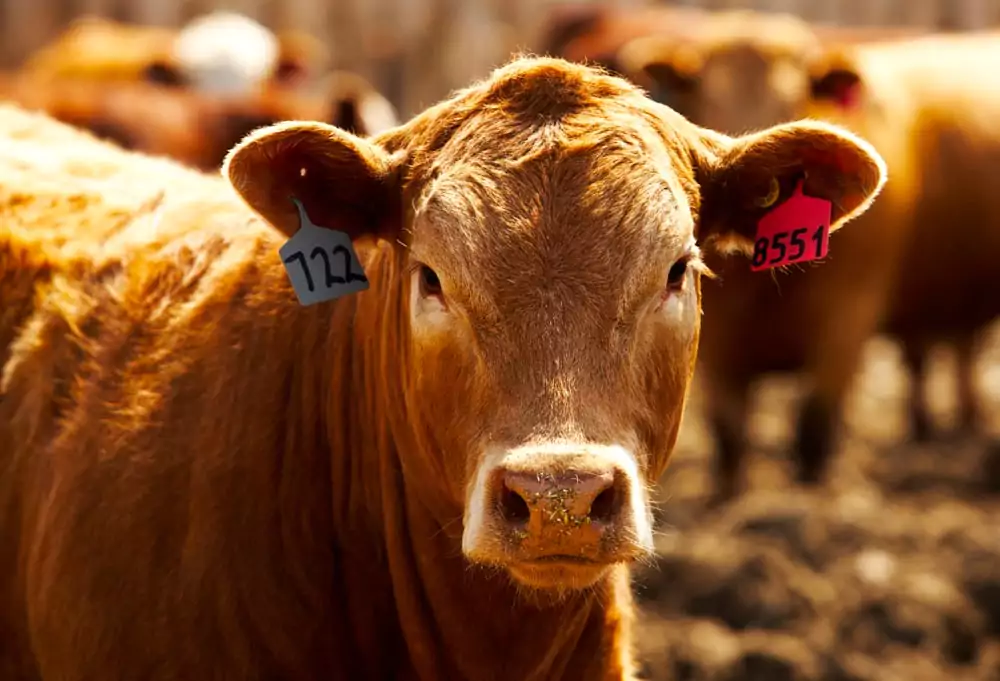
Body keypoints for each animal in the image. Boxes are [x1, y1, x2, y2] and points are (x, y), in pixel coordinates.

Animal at [611, 13, 1000, 500]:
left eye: (791, 97)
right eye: (707, 98)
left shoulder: (848, 318)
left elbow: (814, 425)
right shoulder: (714, 349)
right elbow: (729, 435)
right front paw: (730, 496)